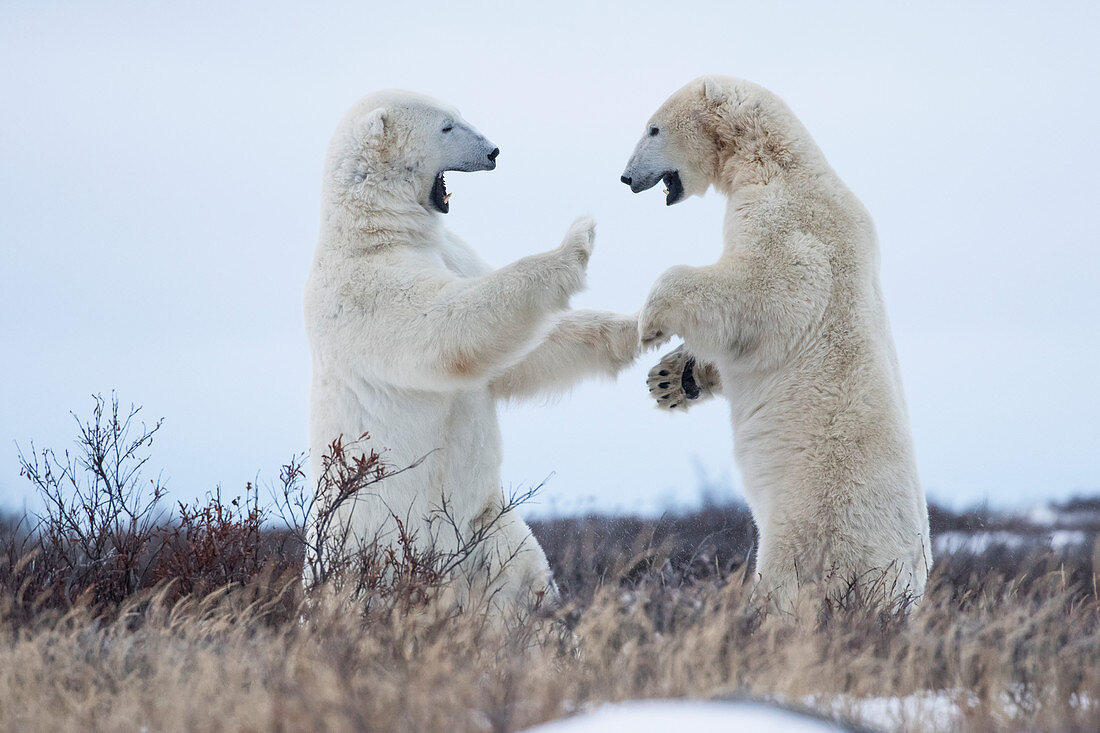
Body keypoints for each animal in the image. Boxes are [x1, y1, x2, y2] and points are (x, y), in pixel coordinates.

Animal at [305, 91, 642, 611]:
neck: (374, 231)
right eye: (447, 126)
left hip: (486, 526)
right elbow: (447, 326)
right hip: (371, 546)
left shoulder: (452, 250)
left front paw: (642, 325)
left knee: (522, 576)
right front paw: (578, 238)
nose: (494, 151)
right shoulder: (363, 290)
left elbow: (522, 355)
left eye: (459, 114)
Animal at [620, 77, 928, 607]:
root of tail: (905, 578)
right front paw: (672, 378)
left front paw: (651, 321)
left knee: (791, 575)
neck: (779, 162)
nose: (625, 177)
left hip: (816, 514)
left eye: (652, 128)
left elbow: (760, 294)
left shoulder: (789, 225)